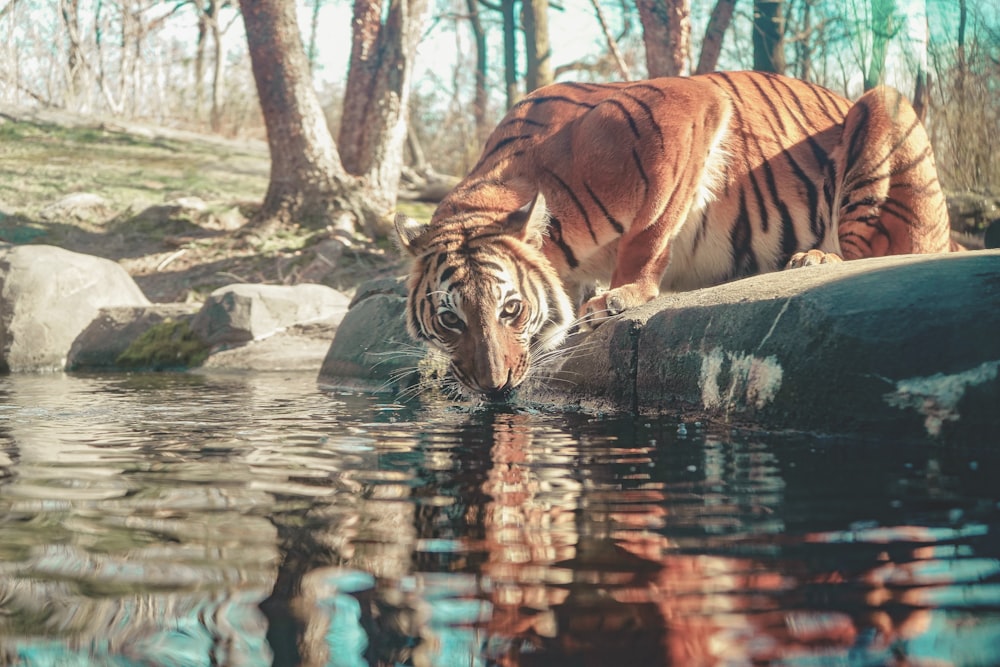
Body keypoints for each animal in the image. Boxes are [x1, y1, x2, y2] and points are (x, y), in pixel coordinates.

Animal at [394, 70, 956, 400]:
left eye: (510, 309)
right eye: (450, 319)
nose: (493, 388)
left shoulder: (689, 106)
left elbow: (652, 229)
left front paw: (619, 295)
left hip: (884, 109)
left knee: (876, 247)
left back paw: (816, 258)